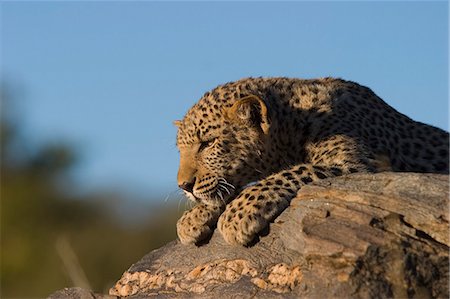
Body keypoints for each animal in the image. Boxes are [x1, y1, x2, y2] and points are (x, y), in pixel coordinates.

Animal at [174, 77, 448, 246]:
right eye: (181, 150)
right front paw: (193, 218)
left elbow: (290, 172)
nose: (183, 186)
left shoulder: (357, 164)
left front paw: (238, 214)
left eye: (208, 143)